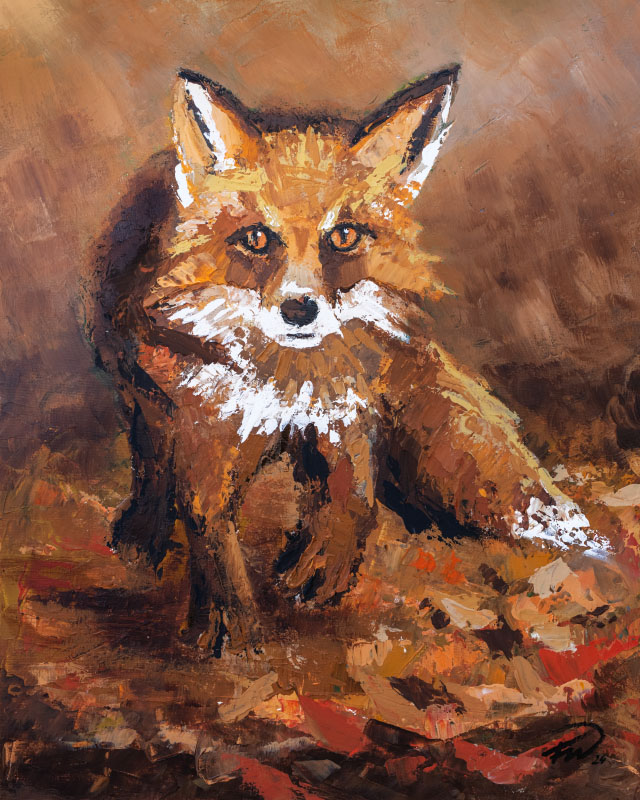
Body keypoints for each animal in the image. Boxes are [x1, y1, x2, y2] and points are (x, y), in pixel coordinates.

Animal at [89, 67, 610, 654]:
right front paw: (228, 617)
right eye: (256, 238)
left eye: (343, 235)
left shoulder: (351, 407)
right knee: (150, 456)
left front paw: (325, 567)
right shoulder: (207, 423)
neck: (289, 379)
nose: (298, 309)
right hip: (143, 391)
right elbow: (208, 522)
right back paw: (143, 530)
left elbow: (356, 495)